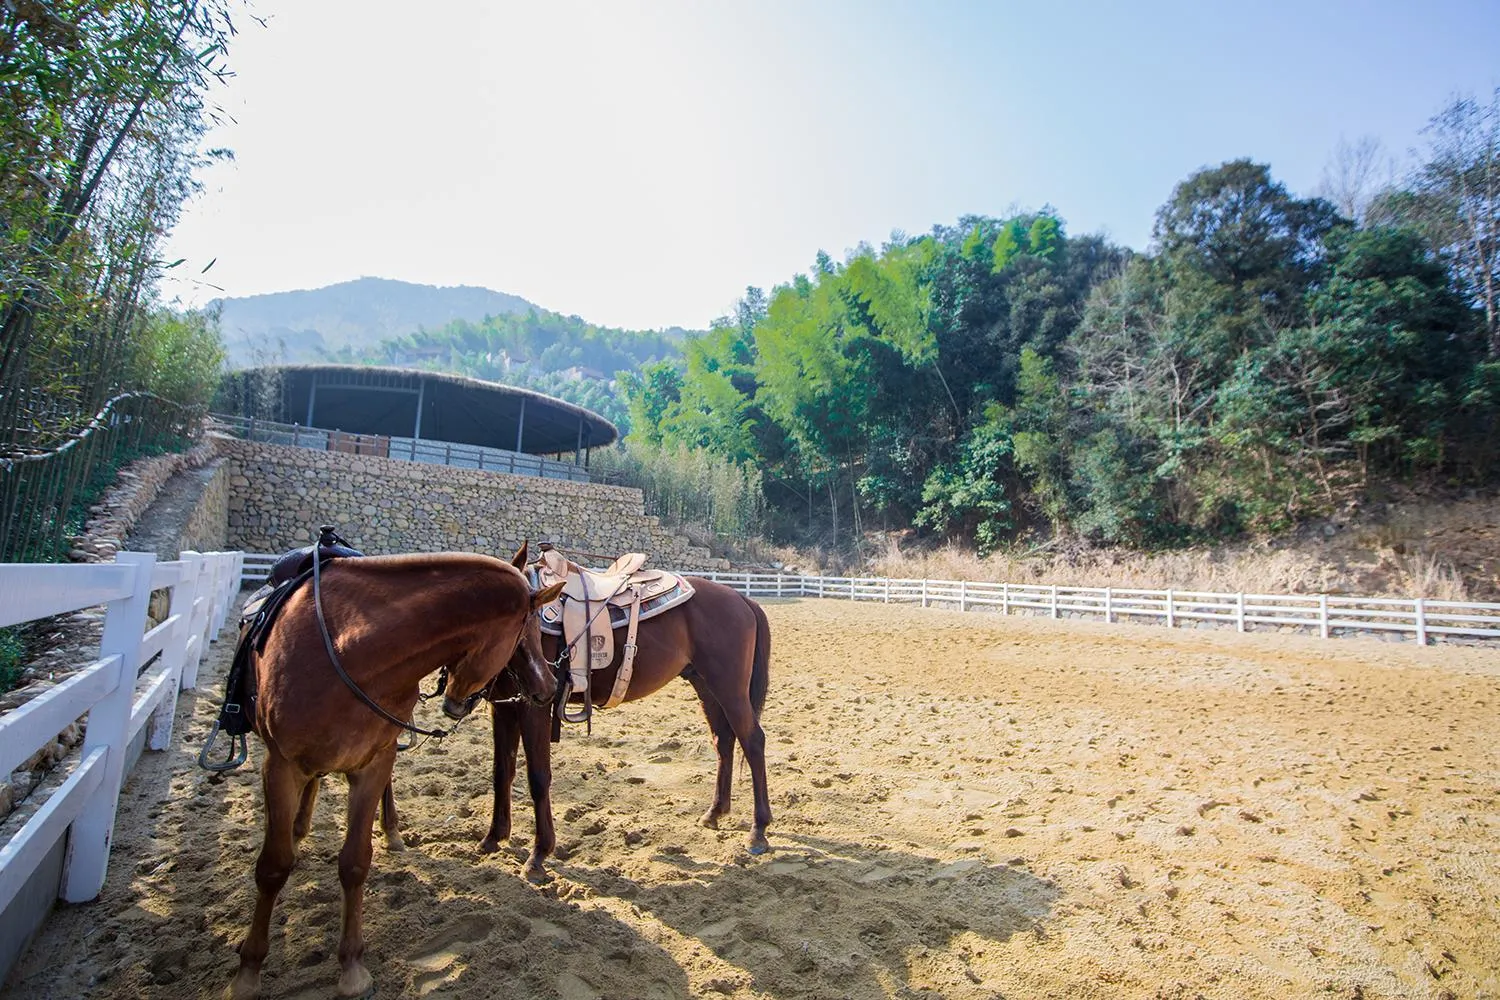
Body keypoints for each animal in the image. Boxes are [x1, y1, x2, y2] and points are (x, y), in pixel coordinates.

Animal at [225, 547, 564, 1000]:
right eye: (526, 634)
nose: (548, 688)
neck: (348, 648)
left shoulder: (373, 764)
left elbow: (354, 862)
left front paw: (352, 968)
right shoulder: (280, 765)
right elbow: (272, 867)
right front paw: (248, 972)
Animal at [479, 574, 772, 882]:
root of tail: (742, 599)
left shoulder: (535, 705)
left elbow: (537, 777)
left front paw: (537, 857)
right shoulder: (503, 706)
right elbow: (502, 772)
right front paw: (493, 838)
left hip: (730, 689)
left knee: (753, 741)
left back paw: (758, 831)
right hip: (706, 686)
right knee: (724, 741)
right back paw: (715, 812)